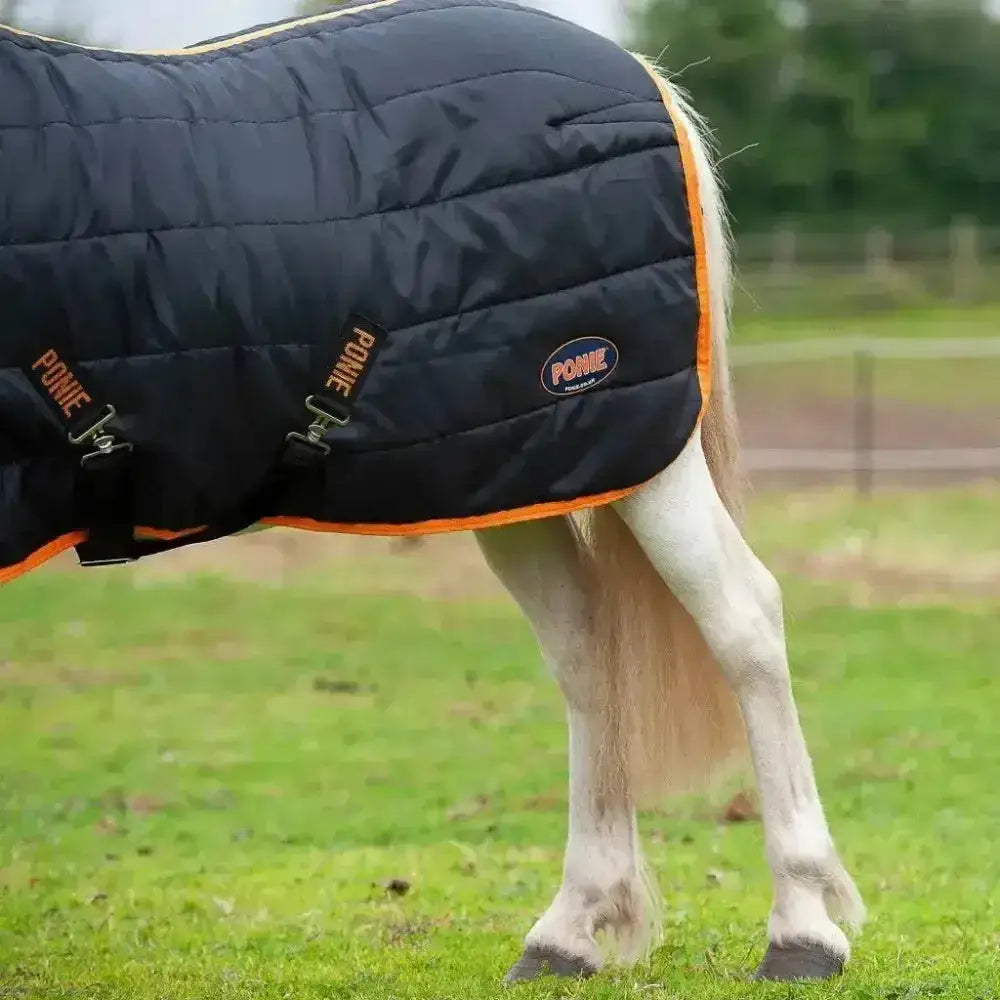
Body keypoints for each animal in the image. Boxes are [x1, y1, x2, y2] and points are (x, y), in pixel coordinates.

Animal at [0, 0, 863, 984]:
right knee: (588, 655)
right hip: (522, 472)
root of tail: (637, 76)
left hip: (641, 453)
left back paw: (801, 930)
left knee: (742, 622)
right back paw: (566, 931)